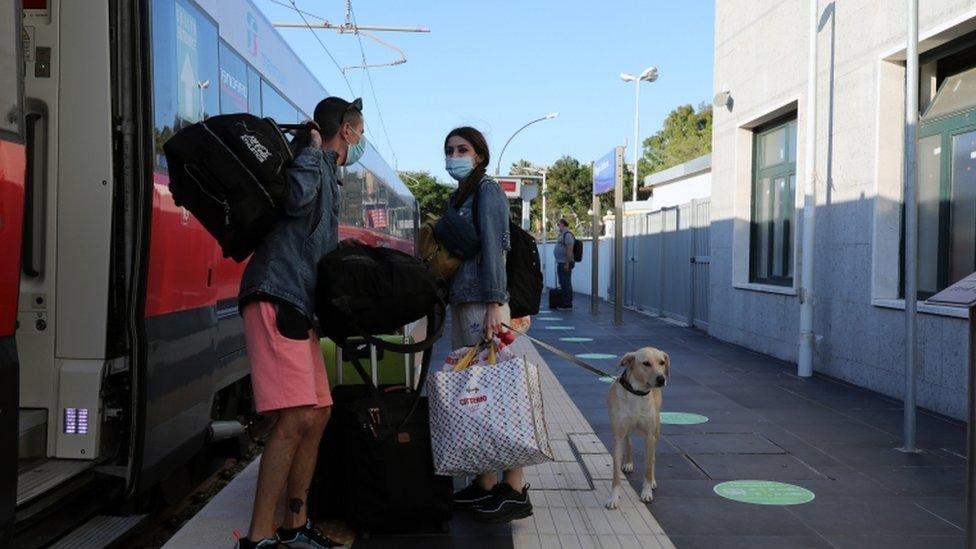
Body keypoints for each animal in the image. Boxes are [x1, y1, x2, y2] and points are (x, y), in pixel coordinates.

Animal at [604, 344, 672, 508]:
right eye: (646, 363)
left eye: (662, 362)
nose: (661, 379)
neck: (636, 394)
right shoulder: (618, 436)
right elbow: (616, 474)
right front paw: (614, 498)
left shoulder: (649, 436)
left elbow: (647, 468)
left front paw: (646, 492)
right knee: (629, 442)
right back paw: (628, 462)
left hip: (656, 429)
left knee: (652, 458)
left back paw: (652, 480)